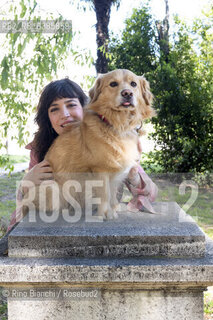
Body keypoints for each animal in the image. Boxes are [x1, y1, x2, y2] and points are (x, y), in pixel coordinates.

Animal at [23, 69, 154, 220]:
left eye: (133, 84)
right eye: (113, 84)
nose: (127, 93)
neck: (118, 124)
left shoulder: (115, 172)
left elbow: (112, 193)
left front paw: (113, 209)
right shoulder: (100, 169)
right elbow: (105, 194)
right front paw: (105, 213)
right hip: (52, 186)